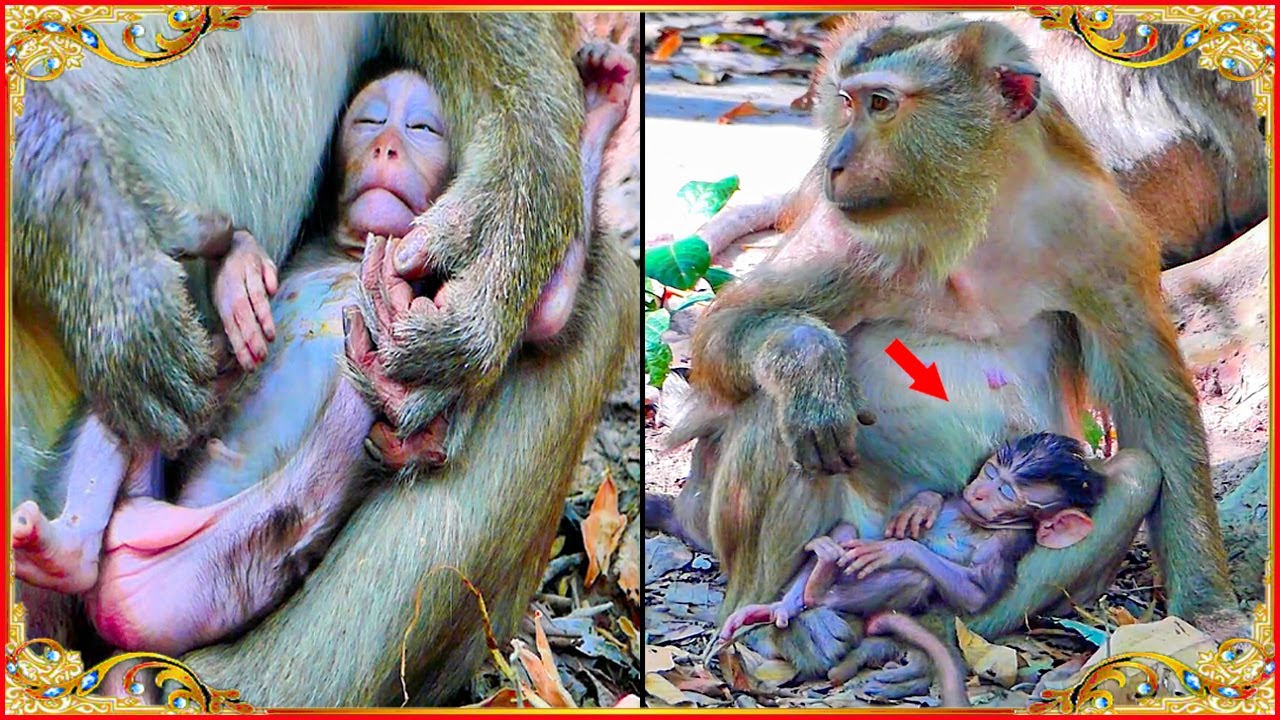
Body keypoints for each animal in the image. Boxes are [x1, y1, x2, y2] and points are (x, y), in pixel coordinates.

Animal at [11, 13, 637, 705]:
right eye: (371, 120)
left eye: (421, 128)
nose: (387, 148)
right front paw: (151, 264)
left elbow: (543, 311)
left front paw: (495, 251)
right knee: (145, 400)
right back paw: (69, 547)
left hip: (197, 581)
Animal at [717, 433, 1114, 706]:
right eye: (989, 473)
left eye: (1005, 491)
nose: (979, 493)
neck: (976, 518)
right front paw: (921, 507)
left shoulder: (1009, 543)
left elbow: (977, 594)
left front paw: (897, 548)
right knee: (844, 532)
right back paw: (786, 602)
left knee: (914, 579)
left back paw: (820, 587)